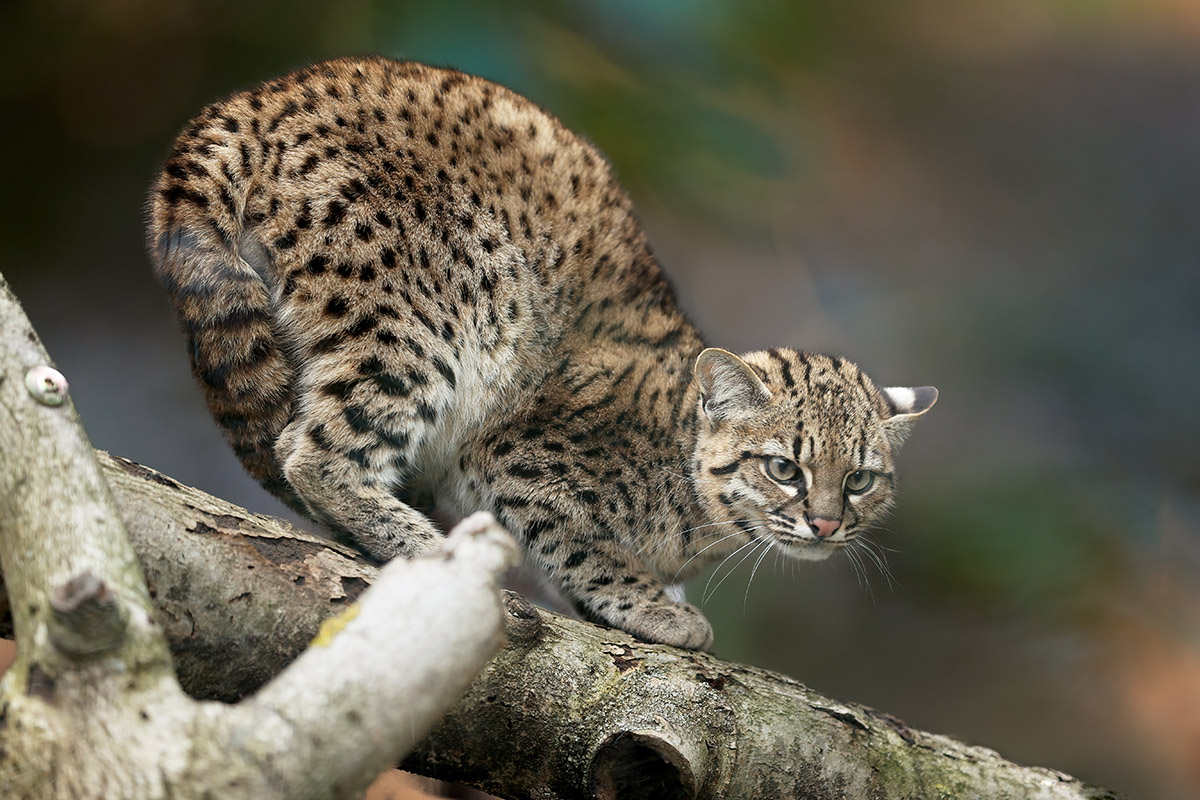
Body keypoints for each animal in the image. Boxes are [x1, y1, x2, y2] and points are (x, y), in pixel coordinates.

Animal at [147, 61, 936, 652]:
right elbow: (583, 548)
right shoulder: (519, 459)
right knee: (311, 454)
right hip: (425, 327)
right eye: (783, 469)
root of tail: (255, 99)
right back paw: (433, 548)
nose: (827, 525)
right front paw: (657, 607)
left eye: (861, 480)